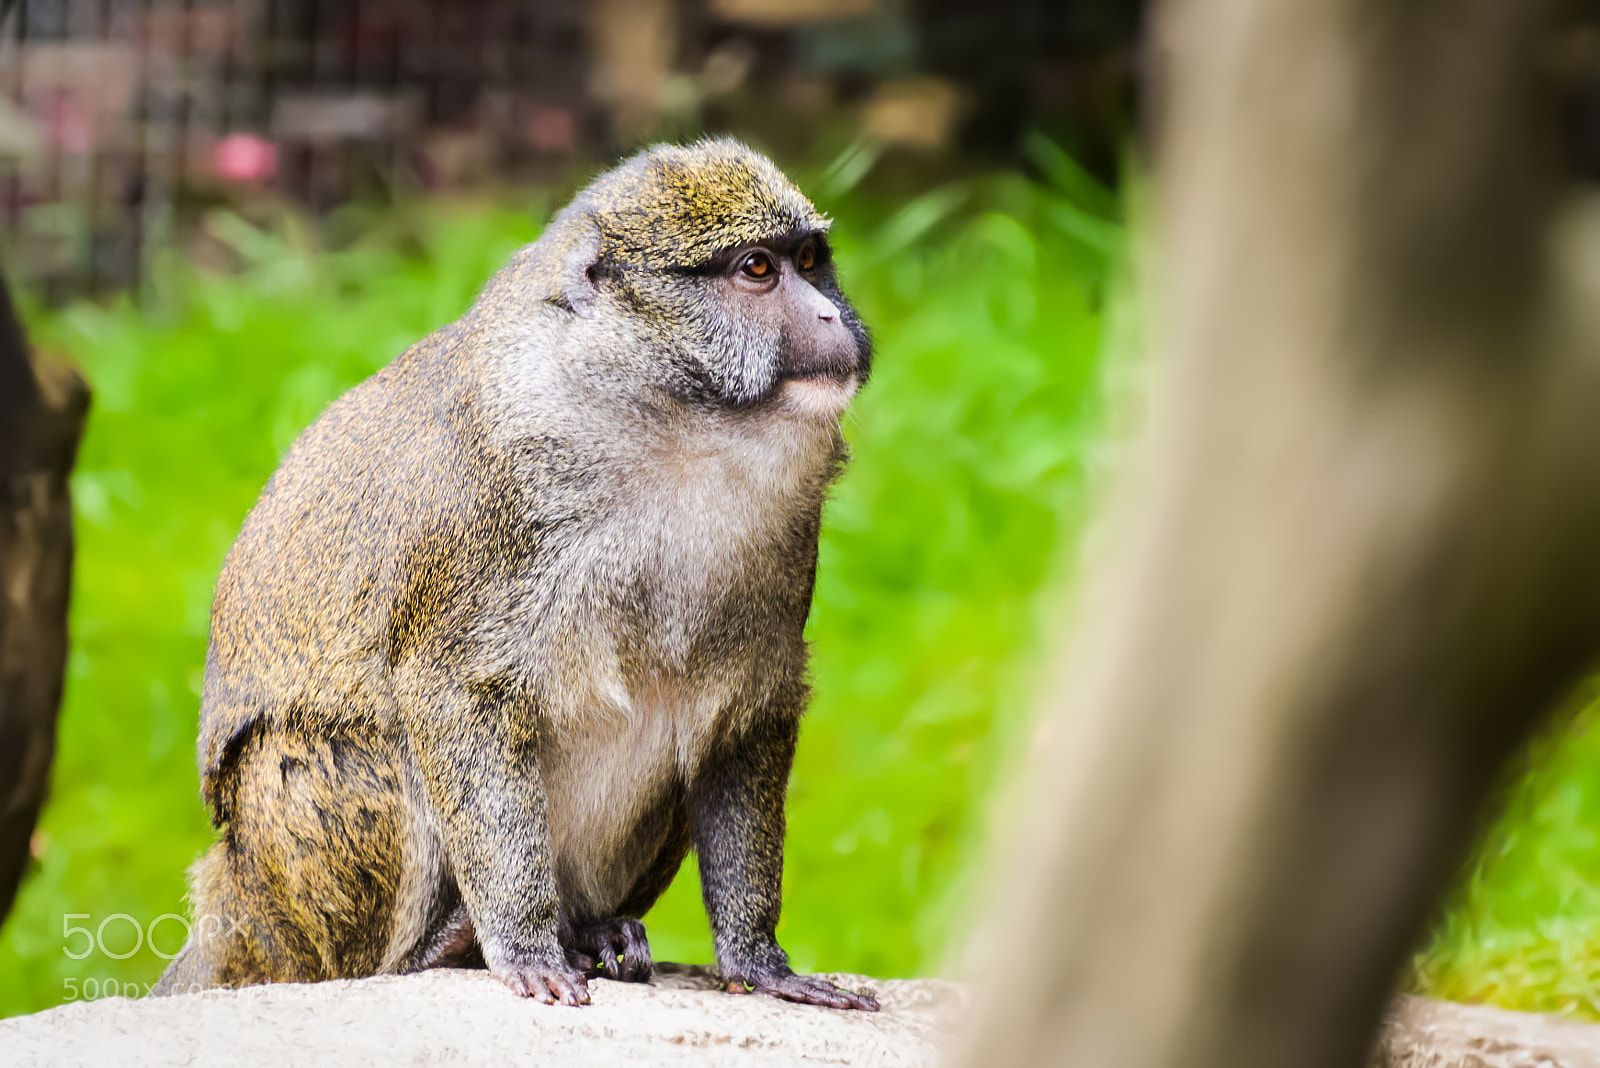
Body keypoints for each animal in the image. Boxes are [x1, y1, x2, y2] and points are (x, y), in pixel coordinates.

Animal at [151, 139, 878, 1011]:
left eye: (809, 262)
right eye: (757, 270)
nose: (832, 318)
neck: (671, 422)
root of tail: (231, 910)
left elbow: (742, 716)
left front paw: (759, 961)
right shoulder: (484, 506)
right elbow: (453, 693)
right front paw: (525, 943)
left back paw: (591, 927)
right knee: (338, 753)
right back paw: (444, 948)